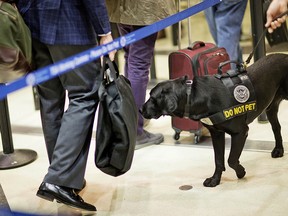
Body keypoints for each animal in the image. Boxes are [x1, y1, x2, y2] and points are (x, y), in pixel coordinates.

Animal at [142, 53, 288, 186]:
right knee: (276, 127)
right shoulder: (216, 133)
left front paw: (241, 172)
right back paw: (279, 150)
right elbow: (218, 160)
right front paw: (215, 180)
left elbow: (231, 159)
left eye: (152, 98)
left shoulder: (241, 132)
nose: (140, 110)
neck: (193, 96)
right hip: (270, 108)